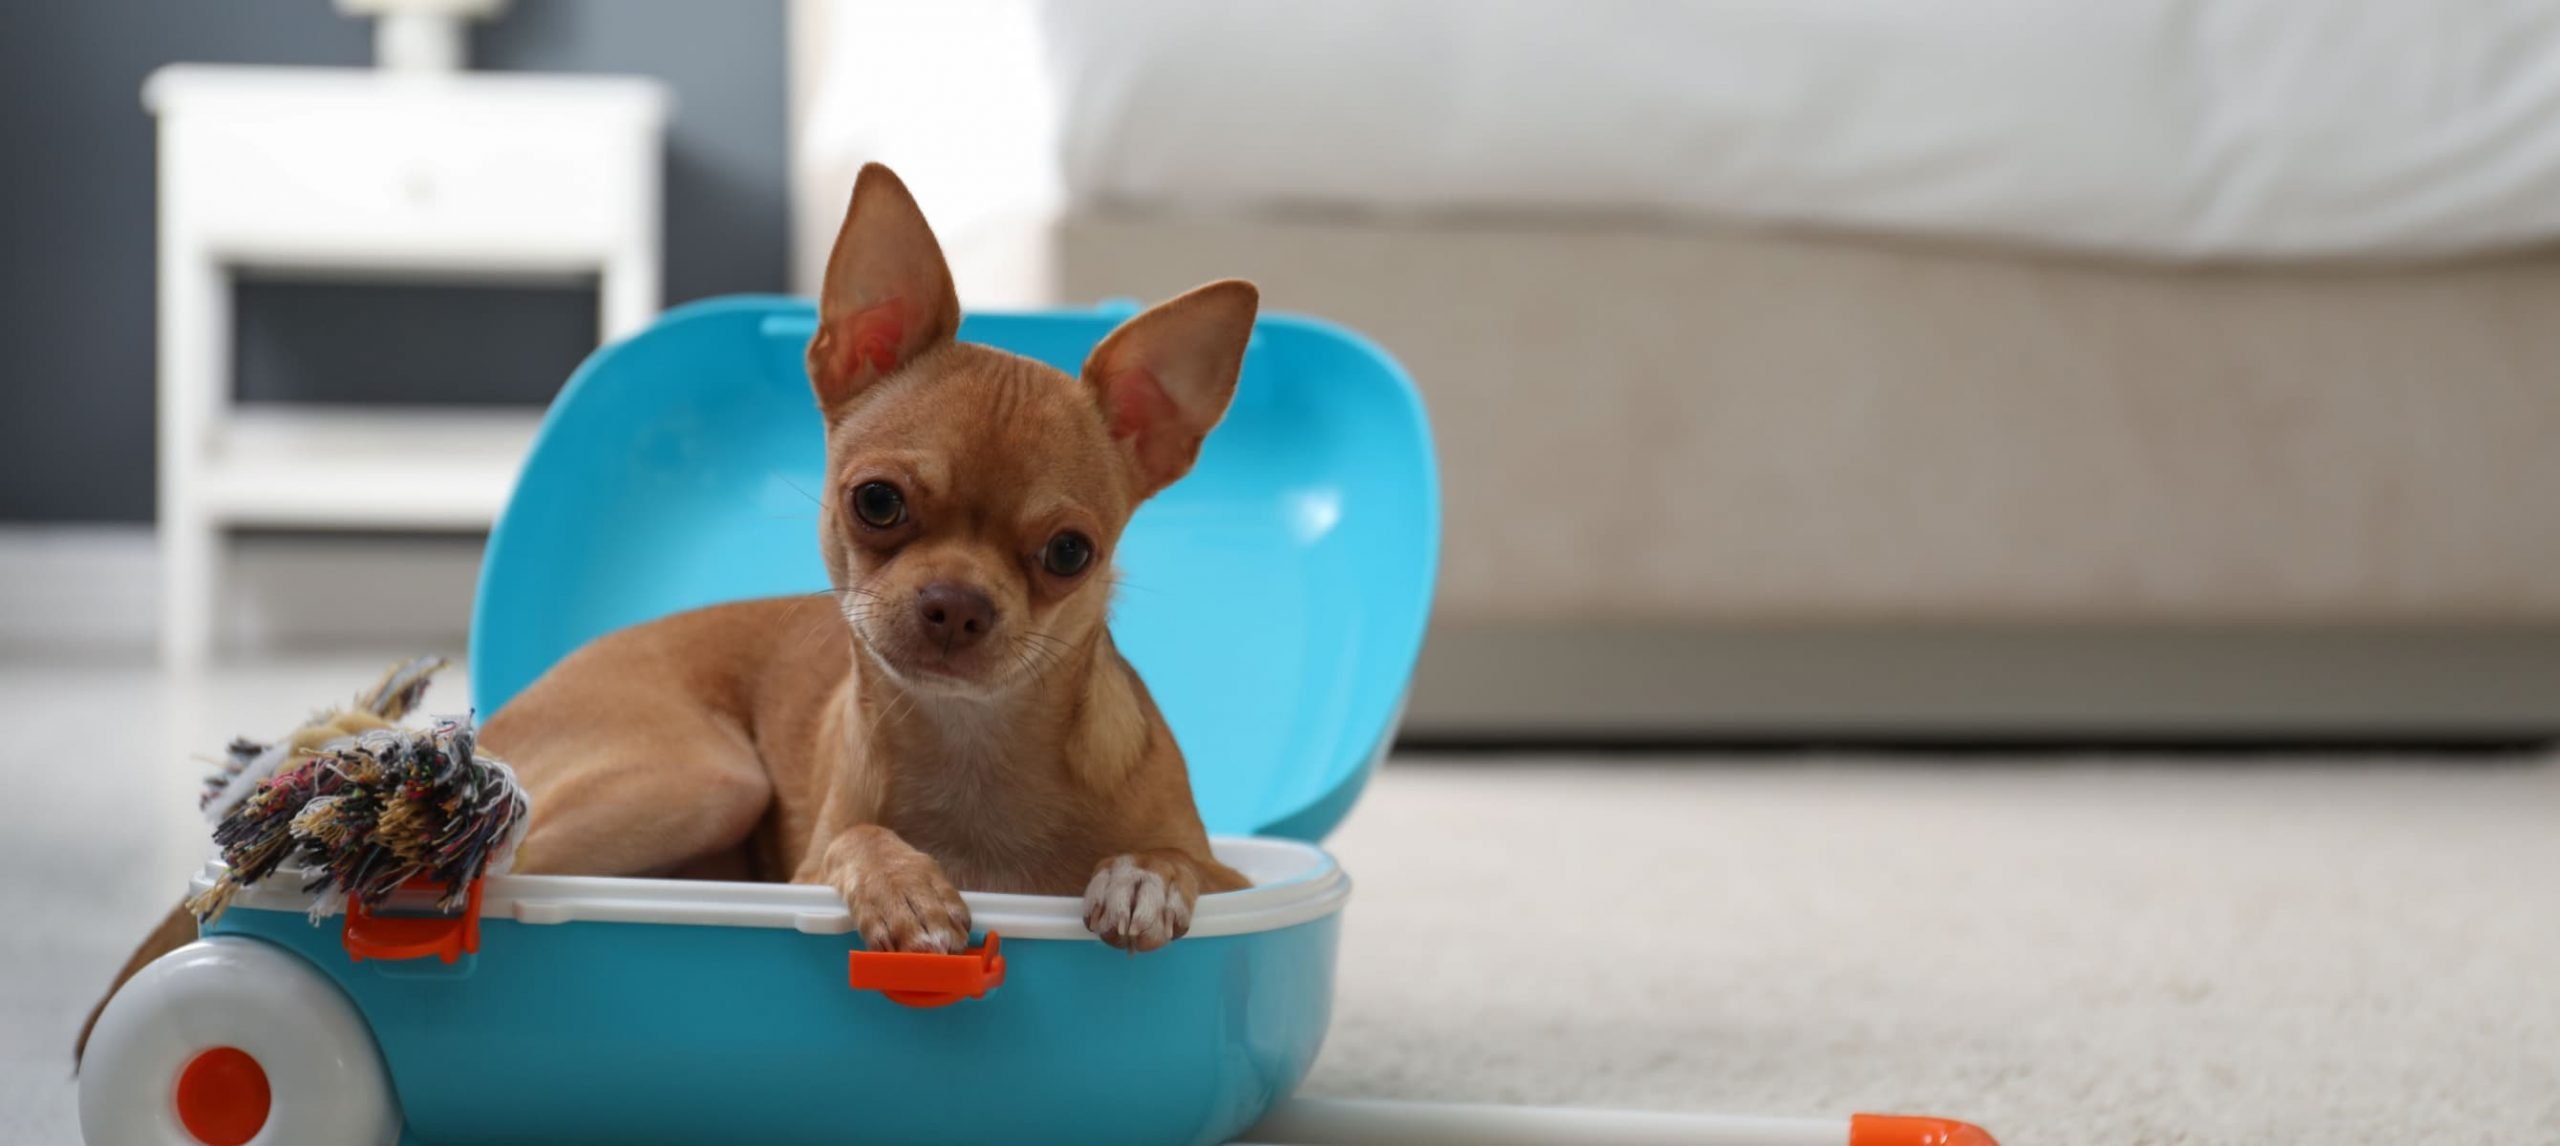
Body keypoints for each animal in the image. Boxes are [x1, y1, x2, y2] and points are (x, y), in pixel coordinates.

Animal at [94, 166, 1254, 1059]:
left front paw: (1142, 880)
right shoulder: (814, 857)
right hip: (700, 779)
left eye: (1070, 554)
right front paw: (904, 885)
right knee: (504, 869)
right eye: (876, 502)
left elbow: (1182, 861)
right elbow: (857, 841)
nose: (955, 604)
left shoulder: (1230, 872)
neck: (979, 750)